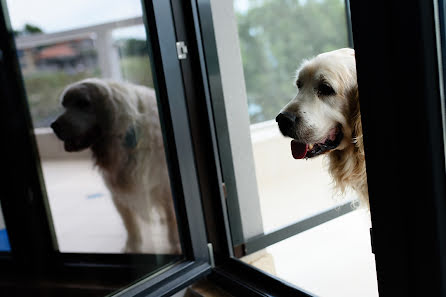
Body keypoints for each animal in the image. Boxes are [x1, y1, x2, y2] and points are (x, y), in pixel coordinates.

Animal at [50, 78, 179, 252]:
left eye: (83, 103)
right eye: (64, 105)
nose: (53, 125)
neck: (125, 138)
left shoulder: (163, 185)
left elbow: (171, 216)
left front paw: (175, 244)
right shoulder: (118, 192)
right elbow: (130, 223)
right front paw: (133, 245)